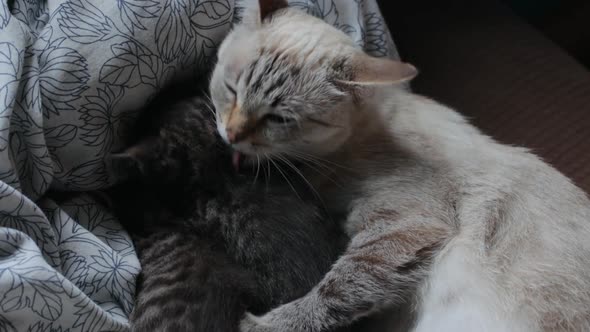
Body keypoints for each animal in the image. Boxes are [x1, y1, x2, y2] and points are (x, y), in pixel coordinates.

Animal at [209, 0, 590, 330]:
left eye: (279, 118)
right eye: (231, 88)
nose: (231, 134)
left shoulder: (404, 227)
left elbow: (339, 288)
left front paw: (260, 324)